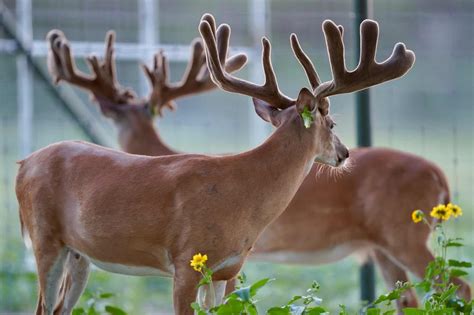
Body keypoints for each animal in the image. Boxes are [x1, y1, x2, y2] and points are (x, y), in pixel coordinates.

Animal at [46, 12, 468, 314]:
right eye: (332, 123)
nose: (345, 153)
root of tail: (440, 174)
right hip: (386, 246)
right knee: (412, 298)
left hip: (405, 233)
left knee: (456, 286)